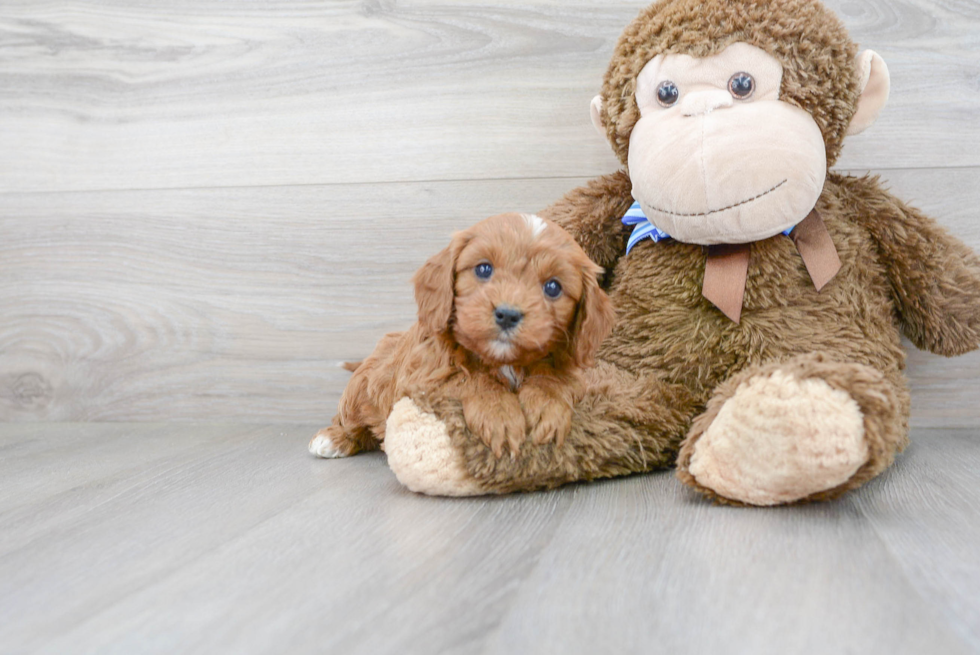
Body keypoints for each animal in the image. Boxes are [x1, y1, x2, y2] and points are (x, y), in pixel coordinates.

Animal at [308, 215, 612, 462]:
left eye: (553, 287)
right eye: (483, 269)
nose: (507, 314)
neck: (503, 360)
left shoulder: (572, 372)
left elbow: (553, 379)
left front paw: (547, 408)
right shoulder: (423, 376)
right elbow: (472, 379)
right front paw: (499, 415)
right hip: (360, 389)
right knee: (350, 419)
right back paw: (332, 439)